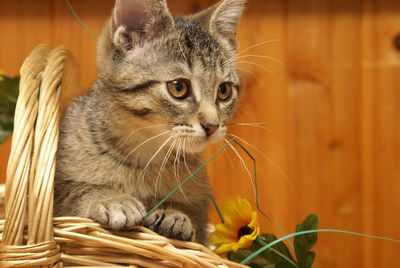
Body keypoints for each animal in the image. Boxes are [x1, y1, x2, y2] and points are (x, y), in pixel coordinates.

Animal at [54, 0, 245, 244]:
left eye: (224, 91)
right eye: (178, 87)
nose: (212, 125)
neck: (145, 158)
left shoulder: (201, 212)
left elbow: (192, 216)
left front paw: (174, 213)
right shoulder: (52, 190)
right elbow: (77, 189)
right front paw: (113, 198)